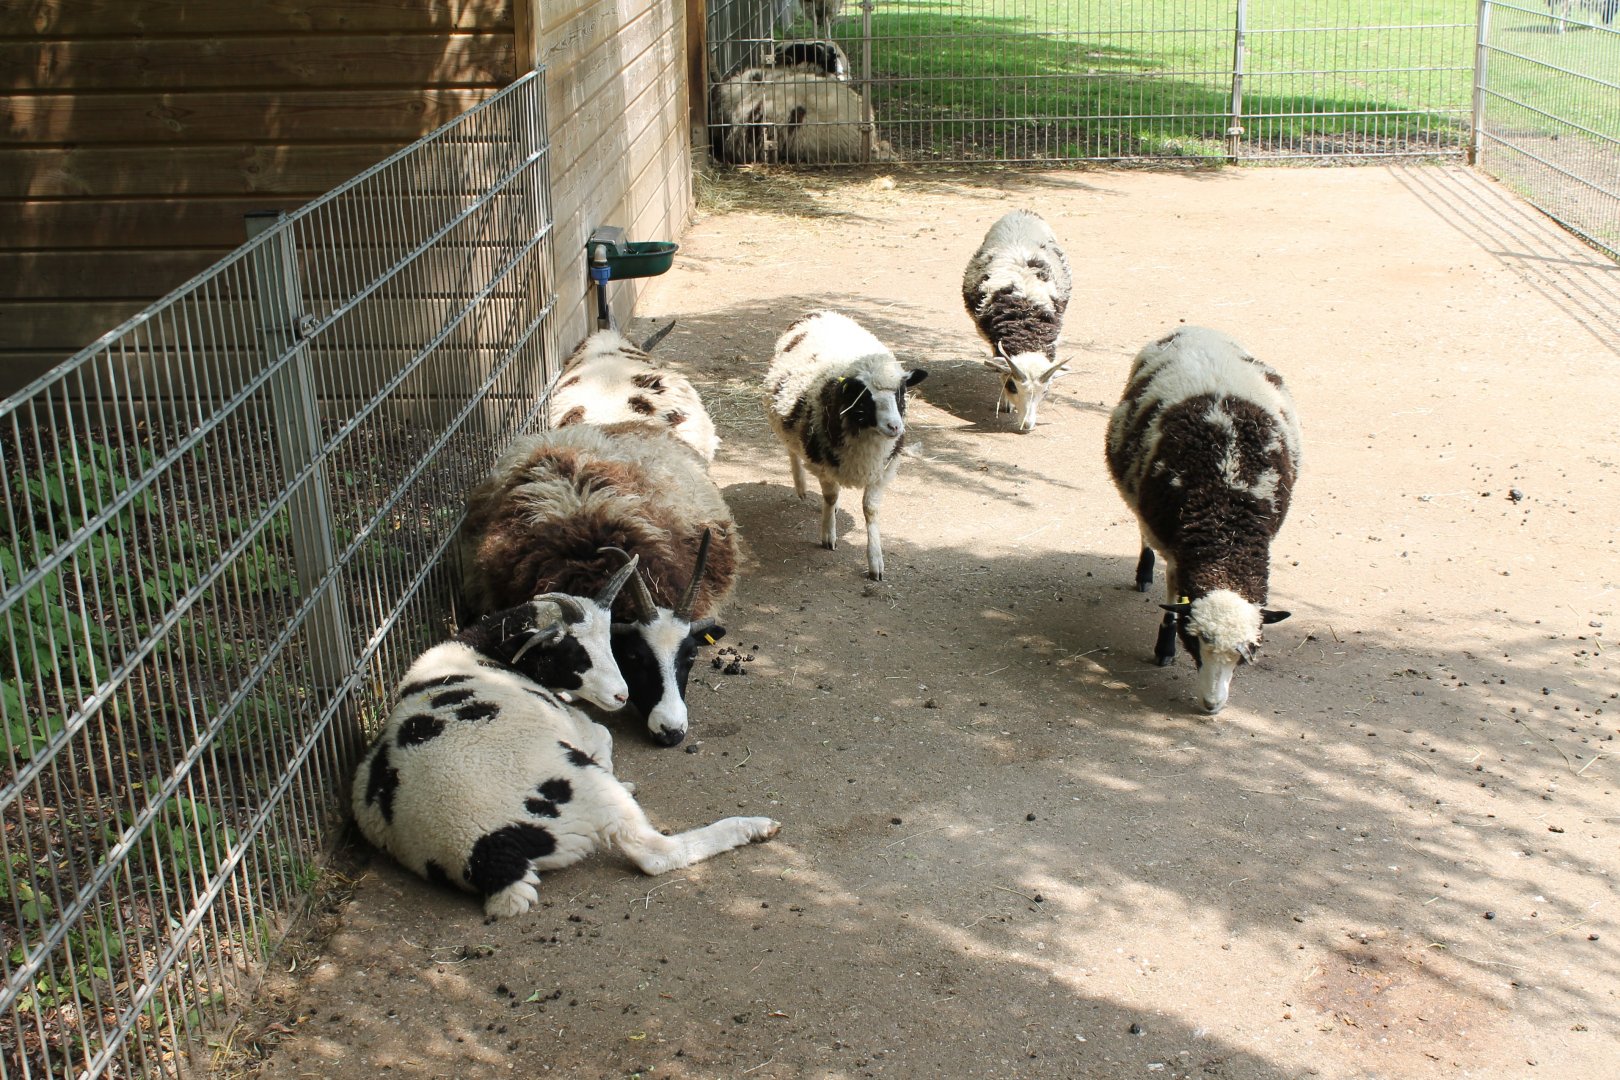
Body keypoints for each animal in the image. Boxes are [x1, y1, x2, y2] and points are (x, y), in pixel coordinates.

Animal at [352, 571, 779, 919]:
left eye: (612, 644)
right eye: (575, 651)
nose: (621, 695)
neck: (478, 650)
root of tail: (487, 854)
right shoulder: (580, 725)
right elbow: (604, 735)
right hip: (585, 788)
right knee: (654, 853)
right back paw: (752, 827)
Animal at [763, 310, 927, 580]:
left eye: (900, 392)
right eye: (865, 396)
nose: (895, 427)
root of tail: (819, 311)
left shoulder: (881, 469)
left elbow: (870, 510)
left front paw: (875, 561)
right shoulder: (823, 463)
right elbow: (830, 497)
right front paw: (828, 534)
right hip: (786, 420)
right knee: (791, 451)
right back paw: (801, 486)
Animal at [1104, 325, 1301, 715]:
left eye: (1246, 653)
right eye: (1194, 641)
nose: (1212, 705)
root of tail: (1196, 329)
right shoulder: (1175, 549)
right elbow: (1172, 601)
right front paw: (1164, 649)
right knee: (1143, 536)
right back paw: (1143, 573)